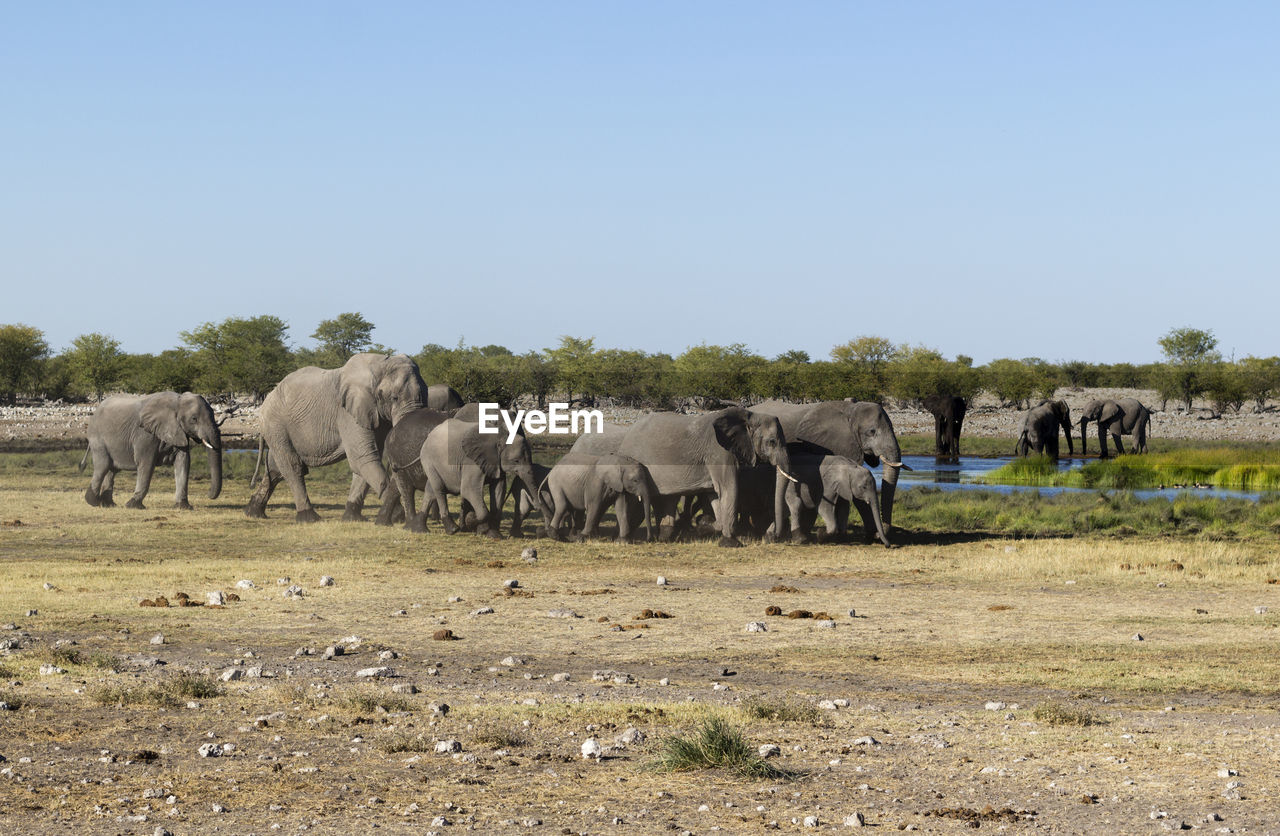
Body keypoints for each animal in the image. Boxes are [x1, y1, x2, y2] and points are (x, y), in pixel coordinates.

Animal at [81, 389, 224, 509]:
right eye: (194, 419)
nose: (208, 494)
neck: (177, 401)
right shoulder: (144, 434)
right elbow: (147, 464)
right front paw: (133, 505)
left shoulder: (178, 432)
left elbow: (183, 462)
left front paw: (184, 507)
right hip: (97, 438)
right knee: (103, 465)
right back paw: (93, 502)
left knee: (112, 470)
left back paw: (108, 504)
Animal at [244, 348, 430, 517]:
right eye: (394, 398)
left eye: (426, 394)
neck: (379, 364)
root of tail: (268, 397)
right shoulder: (347, 413)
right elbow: (363, 458)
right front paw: (397, 516)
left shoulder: (374, 413)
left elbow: (364, 461)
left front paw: (351, 518)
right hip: (275, 424)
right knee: (292, 467)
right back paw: (309, 518)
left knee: (275, 469)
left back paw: (253, 512)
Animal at [616, 407, 793, 547]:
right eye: (772, 442)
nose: (770, 537)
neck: (749, 415)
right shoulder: (719, 453)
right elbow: (729, 488)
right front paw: (730, 543)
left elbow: (715, 494)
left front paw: (702, 527)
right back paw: (627, 539)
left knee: (666, 499)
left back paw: (665, 536)